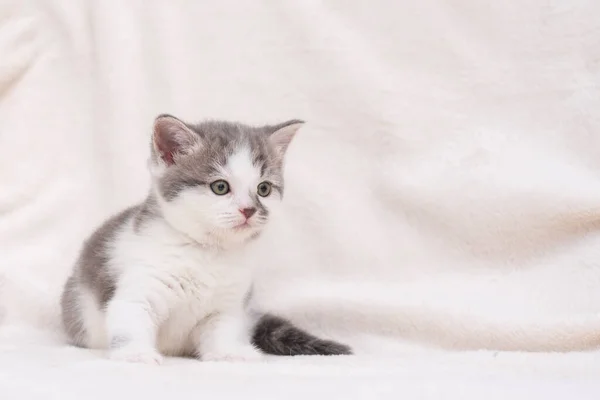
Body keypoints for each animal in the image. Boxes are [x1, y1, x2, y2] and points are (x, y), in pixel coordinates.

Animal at [59, 114, 352, 364]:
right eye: (220, 187)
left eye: (264, 189)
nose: (249, 210)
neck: (208, 252)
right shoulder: (138, 286)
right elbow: (131, 320)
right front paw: (136, 354)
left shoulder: (229, 304)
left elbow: (221, 329)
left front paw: (228, 353)